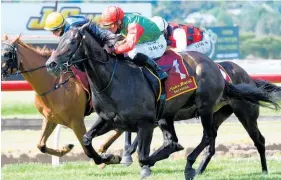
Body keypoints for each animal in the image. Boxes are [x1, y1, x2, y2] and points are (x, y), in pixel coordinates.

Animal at [44, 24, 278, 179]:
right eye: (59, 41)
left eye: (72, 42)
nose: (51, 64)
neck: (113, 80)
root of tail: (216, 67)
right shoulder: (109, 120)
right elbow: (86, 140)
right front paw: (109, 158)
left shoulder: (146, 123)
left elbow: (143, 155)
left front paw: (137, 163)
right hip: (183, 115)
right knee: (200, 141)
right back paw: (198, 167)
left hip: (219, 109)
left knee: (233, 137)